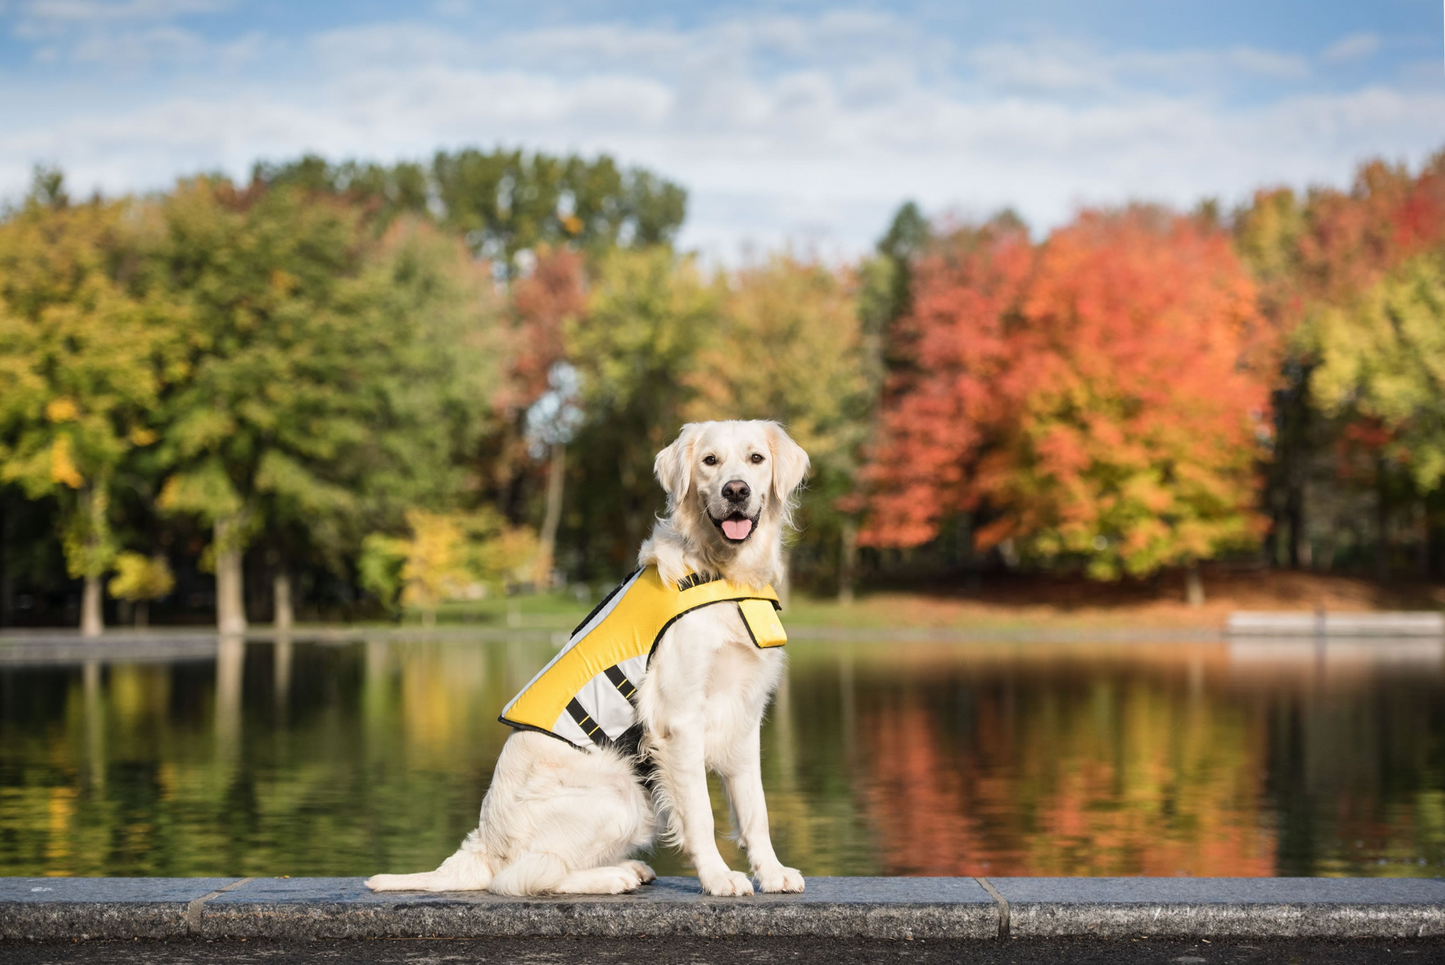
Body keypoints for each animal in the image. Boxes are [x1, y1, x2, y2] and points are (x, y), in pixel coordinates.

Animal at [364, 418, 814, 895]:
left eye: (755, 459)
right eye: (710, 461)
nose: (736, 491)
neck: (719, 575)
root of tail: (484, 846)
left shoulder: (744, 714)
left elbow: (755, 808)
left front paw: (772, 872)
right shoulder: (678, 720)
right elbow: (700, 816)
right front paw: (718, 877)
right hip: (622, 793)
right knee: (522, 876)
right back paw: (615, 875)